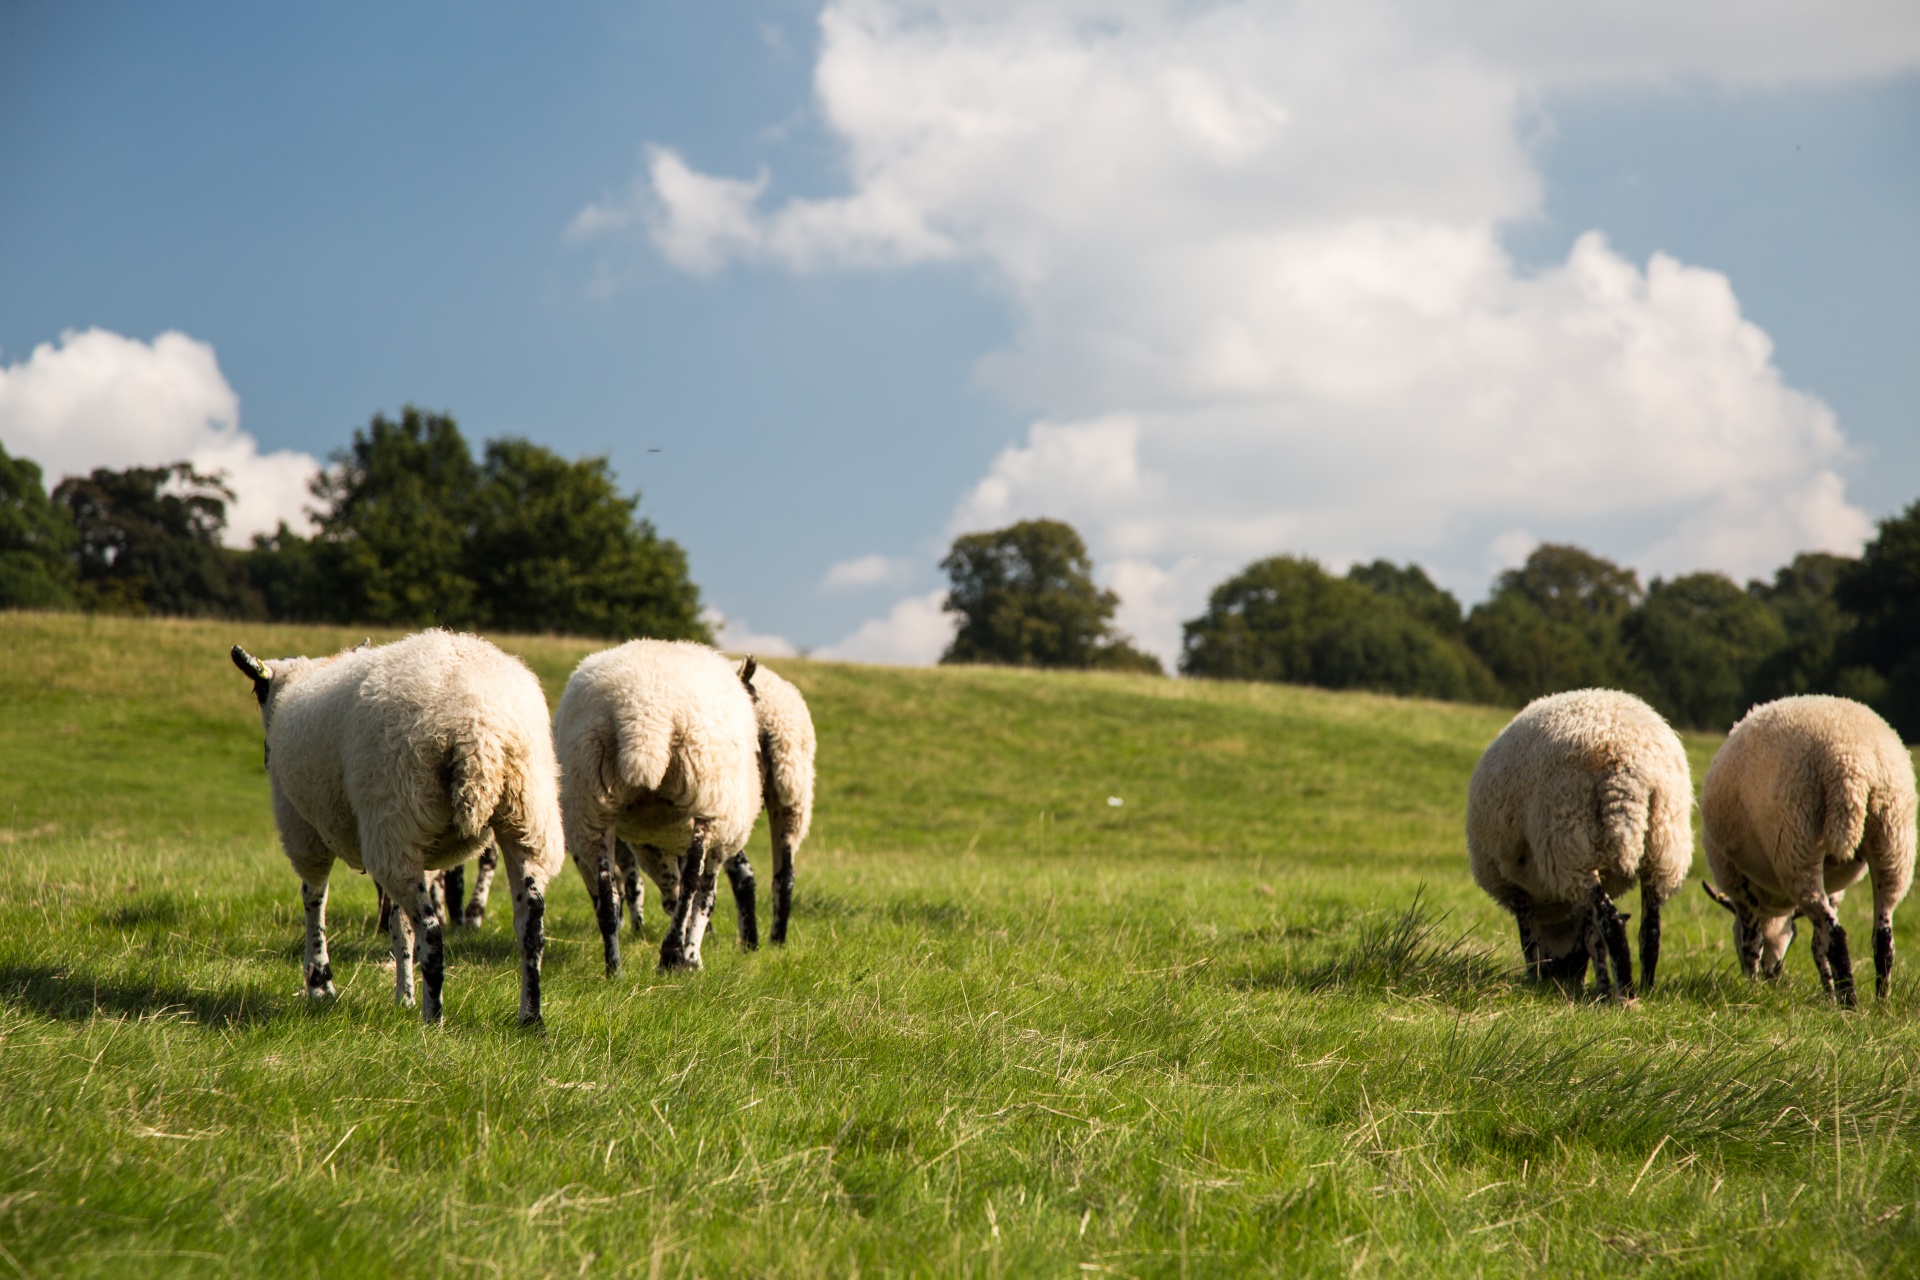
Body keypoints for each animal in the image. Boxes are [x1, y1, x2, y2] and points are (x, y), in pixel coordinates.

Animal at [229, 625, 564, 1028]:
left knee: (431, 930)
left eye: (257, 692)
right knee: (530, 923)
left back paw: (433, 1019)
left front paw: (320, 982)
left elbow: (315, 898)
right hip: (527, 814)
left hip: (396, 818)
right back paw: (531, 1017)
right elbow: (397, 924)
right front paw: (402, 995)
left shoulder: (302, 827)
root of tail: (477, 725)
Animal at [552, 637, 760, 974]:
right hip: (705, 793)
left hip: (589, 802)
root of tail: (643, 713)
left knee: (609, 891)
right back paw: (672, 954)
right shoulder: (720, 833)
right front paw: (692, 957)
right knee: (691, 880)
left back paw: (615, 969)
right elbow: (705, 897)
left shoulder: (653, 842)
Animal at [1466, 690, 1697, 997]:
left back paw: (1626, 994)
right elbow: (1592, 938)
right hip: (1664, 843)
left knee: (1611, 920)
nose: (1565, 979)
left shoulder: (1516, 889)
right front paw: (1601, 988)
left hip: (1571, 843)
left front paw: (1533, 979)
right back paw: (1645, 989)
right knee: (1650, 930)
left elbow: (1530, 941)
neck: (1555, 910)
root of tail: (1627, 765)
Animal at [1704, 694, 1912, 1005]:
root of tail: (1853, 763)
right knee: (1883, 936)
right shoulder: (1835, 892)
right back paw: (1881, 1002)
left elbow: (1753, 939)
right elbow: (1816, 945)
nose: (1772, 976)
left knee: (1837, 934)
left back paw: (1850, 1003)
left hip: (1797, 843)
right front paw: (1827, 992)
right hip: (1893, 838)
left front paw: (1751, 986)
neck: (1774, 905)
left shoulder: (1736, 883)